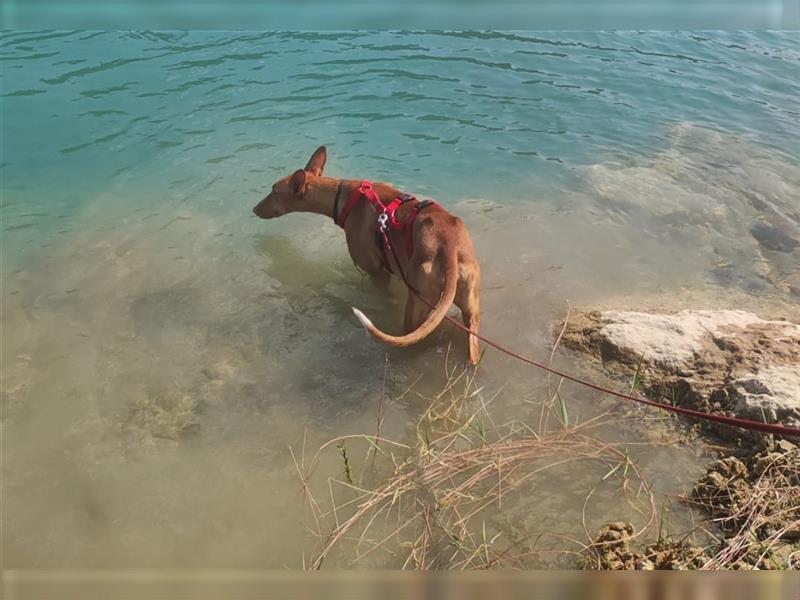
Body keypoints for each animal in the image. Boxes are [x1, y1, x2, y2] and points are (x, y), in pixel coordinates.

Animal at [255, 148, 482, 368]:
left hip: (416, 307)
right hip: (471, 309)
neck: (342, 195)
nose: (254, 209)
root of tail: (449, 250)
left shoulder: (376, 272)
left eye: (273, 191)